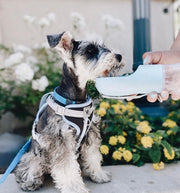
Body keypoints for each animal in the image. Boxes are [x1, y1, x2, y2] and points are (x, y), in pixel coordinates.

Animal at [14, 30, 122, 192]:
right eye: (90, 50)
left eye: (103, 46)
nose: (119, 56)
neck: (76, 98)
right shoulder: (61, 139)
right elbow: (67, 168)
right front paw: (74, 188)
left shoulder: (91, 133)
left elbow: (93, 156)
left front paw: (99, 175)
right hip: (33, 157)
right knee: (27, 170)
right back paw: (29, 183)